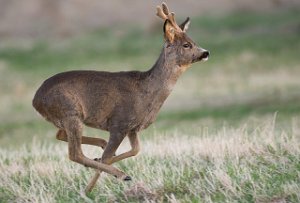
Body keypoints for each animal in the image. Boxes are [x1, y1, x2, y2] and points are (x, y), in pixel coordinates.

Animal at [32, 2, 209, 193]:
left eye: (194, 42)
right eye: (186, 45)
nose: (206, 53)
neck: (147, 92)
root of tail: (35, 100)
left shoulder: (132, 128)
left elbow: (134, 150)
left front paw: (98, 164)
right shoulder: (119, 123)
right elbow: (110, 156)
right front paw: (89, 190)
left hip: (66, 117)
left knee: (60, 135)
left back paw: (101, 149)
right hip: (69, 111)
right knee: (74, 153)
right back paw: (120, 175)